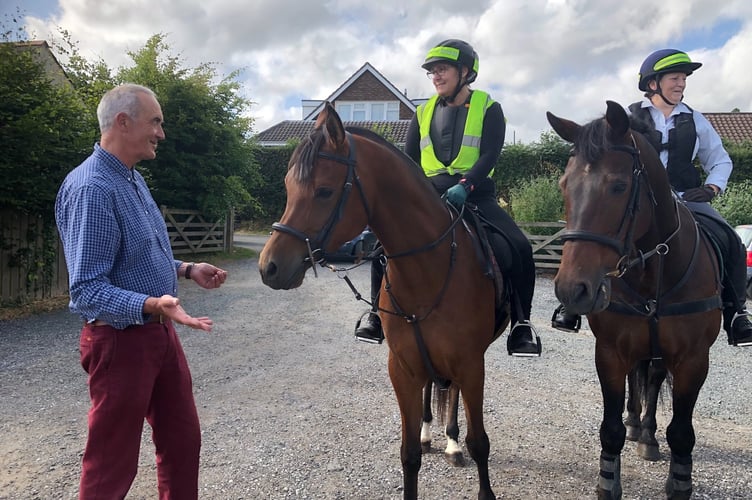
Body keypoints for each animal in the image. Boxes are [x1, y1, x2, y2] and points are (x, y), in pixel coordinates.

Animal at [258, 103, 512, 498]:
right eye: (287, 187)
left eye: (324, 191)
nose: (269, 267)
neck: (430, 267)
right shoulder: (403, 368)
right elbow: (408, 455)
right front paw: (419, 441)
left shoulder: (472, 366)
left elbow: (480, 443)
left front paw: (467, 455)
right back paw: (429, 433)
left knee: (452, 396)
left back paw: (451, 442)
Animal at [548, 99, 724, 498]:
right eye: (565, 185)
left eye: (618, 186)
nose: (572, 289)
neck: (653, 271)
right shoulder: (610, 352)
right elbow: (610, 428)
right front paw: (608, 481)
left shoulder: (694, 360)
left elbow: (682, 433)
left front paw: (679, 482)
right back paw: (636, 425)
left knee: (654, 378)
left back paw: (647, 435)